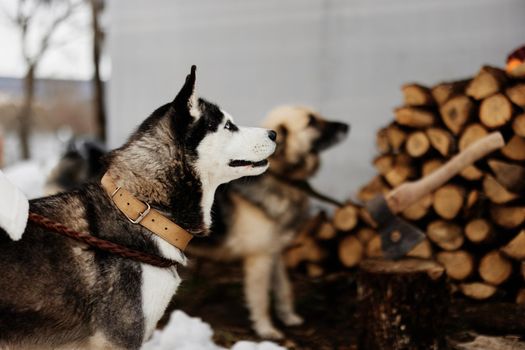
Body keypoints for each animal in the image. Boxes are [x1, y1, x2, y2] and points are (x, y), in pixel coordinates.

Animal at [194, 106, 346, 340]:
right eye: (311, 121)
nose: (346, 126)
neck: (279, 178)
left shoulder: (274, 252)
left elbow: (284, 288)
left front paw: (289, 317)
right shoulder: (259, 258)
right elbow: (262, 299)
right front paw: (266, 329)